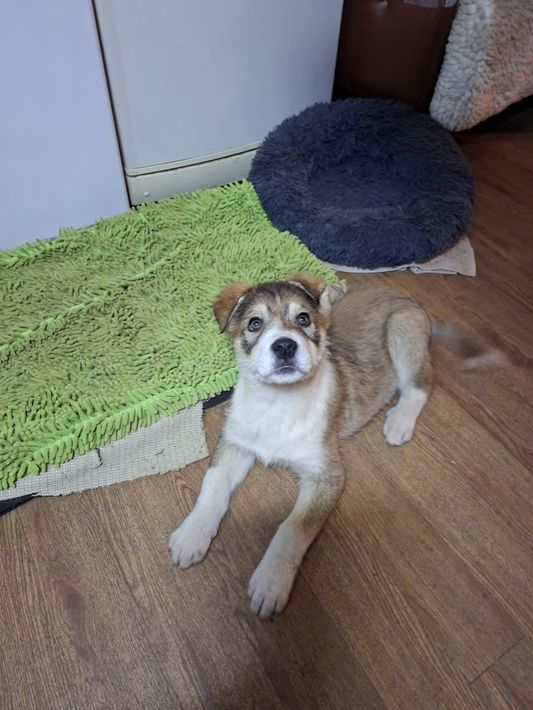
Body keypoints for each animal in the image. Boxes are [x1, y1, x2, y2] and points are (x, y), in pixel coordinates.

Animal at [168, 273, 502, 618]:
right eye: (254, 324)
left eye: (303, 318)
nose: (285, 346)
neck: (278, 401)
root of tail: (407, 300)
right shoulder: (235, 443)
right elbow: (212, 486)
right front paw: (192, 535)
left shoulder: (326, 475)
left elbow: (292, 528)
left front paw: (271, 582)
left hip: (401, 333)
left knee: (423, 383)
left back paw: (400, 422)